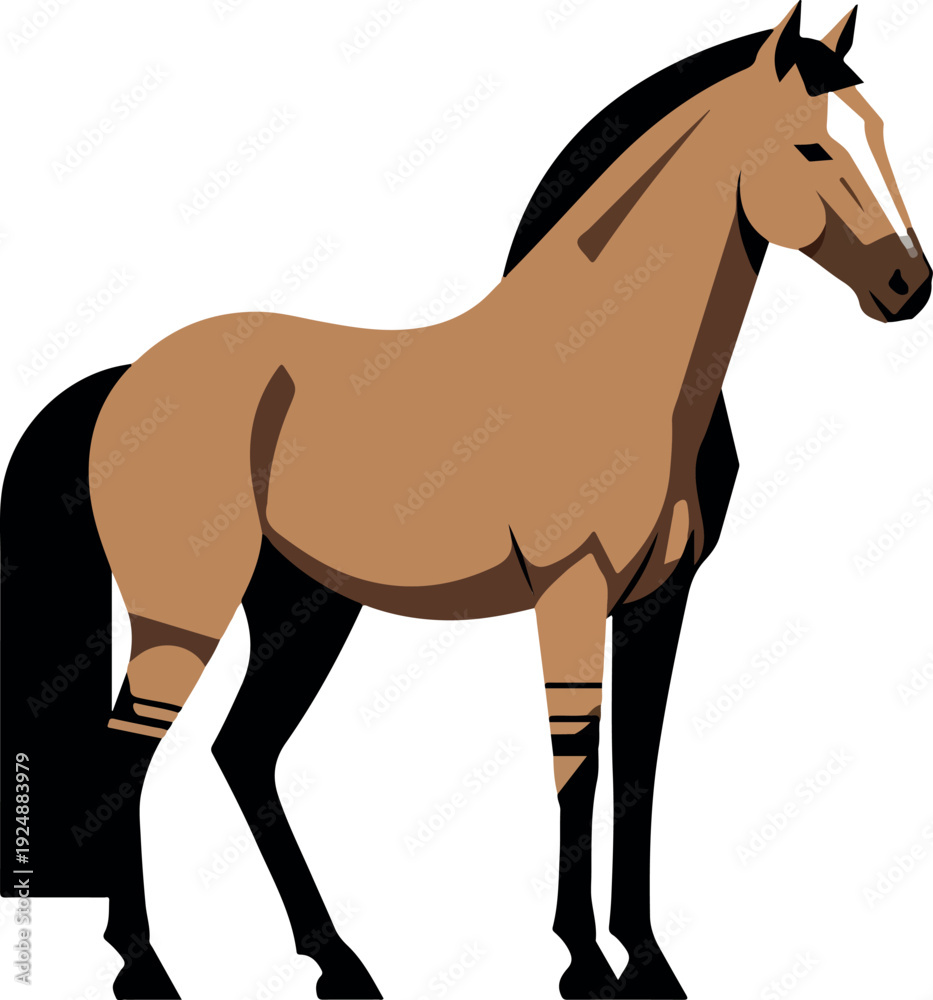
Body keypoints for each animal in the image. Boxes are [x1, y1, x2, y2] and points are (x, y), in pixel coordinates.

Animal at [2, 5, 929, 998]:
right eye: (810, 147)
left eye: (878, 134)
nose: (908, 288)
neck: (608, 357)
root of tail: (126, 378)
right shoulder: (571, 590)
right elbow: (578, 760)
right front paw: (583, 964)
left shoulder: (660, 599)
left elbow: (638, 766)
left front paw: (647, 962)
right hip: (186, 611)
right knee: (127, 753)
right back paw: (146, 965)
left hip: (304, 607)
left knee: (242, 752)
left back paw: (338, 963)